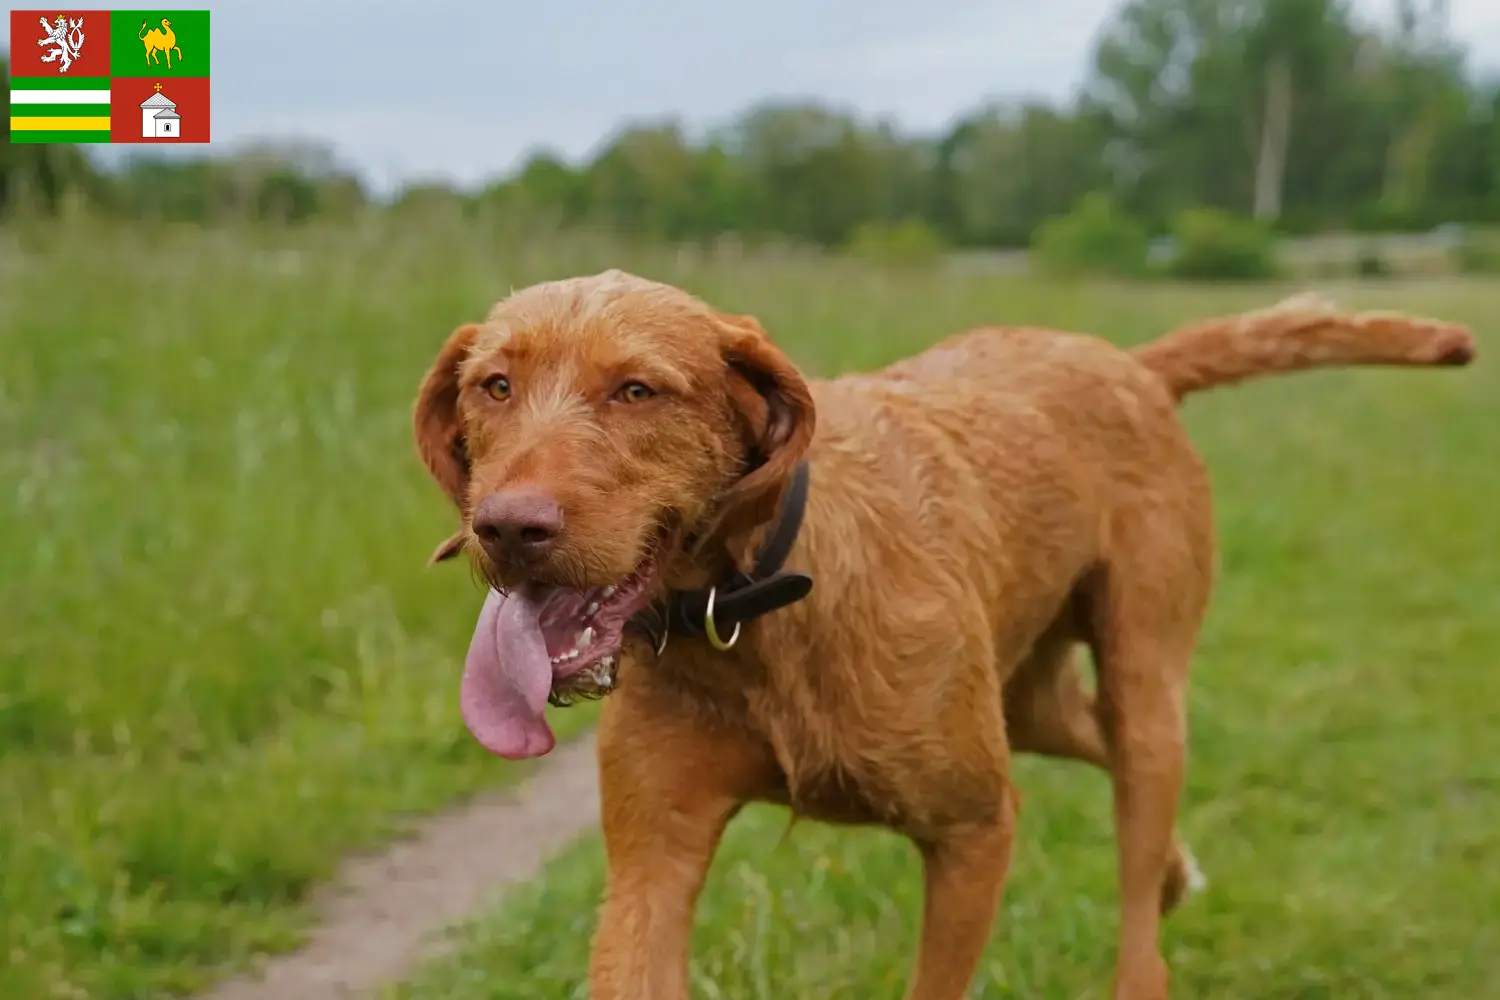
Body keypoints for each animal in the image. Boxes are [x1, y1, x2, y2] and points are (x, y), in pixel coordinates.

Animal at [414, 269, 1476, 995]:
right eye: (493, 386)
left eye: (637, 390)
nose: (508, 527)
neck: (754, 605)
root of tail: (1126, 364)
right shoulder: (653, 859)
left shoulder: (973, 832)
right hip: (1028, 699)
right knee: (1094, 746)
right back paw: (1181, 869)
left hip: (1141, 686)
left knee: (1138, 872)